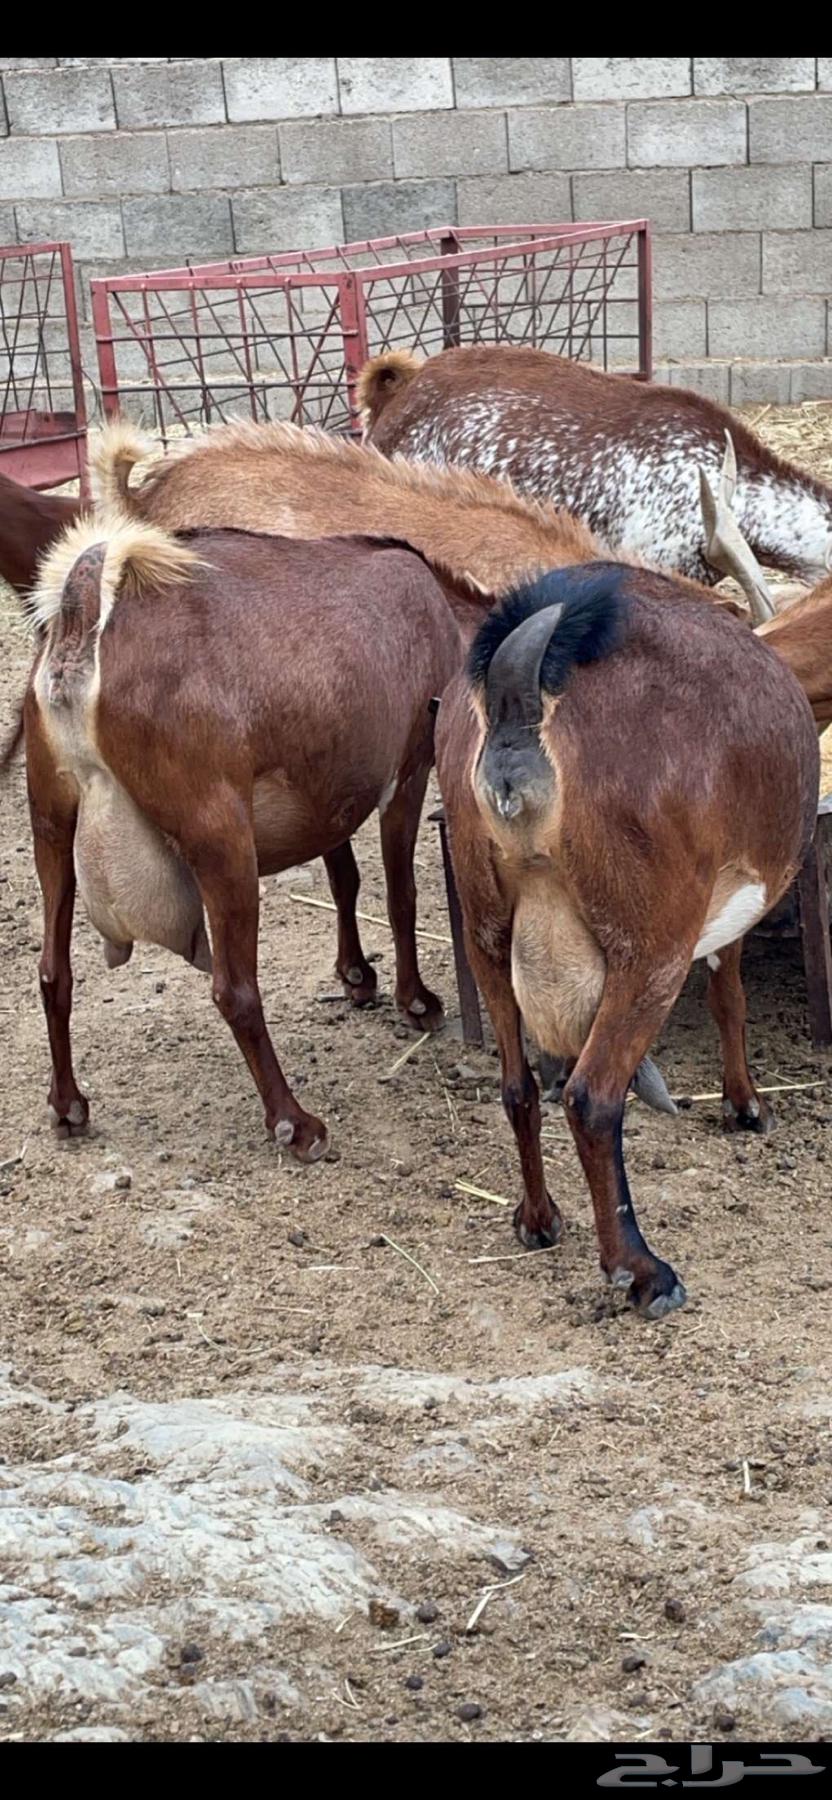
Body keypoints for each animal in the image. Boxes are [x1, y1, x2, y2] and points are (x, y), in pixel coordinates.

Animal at [24, 517, 462, 1149]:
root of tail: (81, 635)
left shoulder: (327, 793)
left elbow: (345, 880)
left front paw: (356, 977)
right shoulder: (408, 772)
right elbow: (401, 898)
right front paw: (417, 1002)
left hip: (51, 824)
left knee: (53, 972)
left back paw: (67, 1106)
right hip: (222, 837)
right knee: (234, 989)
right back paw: (294, 1122)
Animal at [435, 563, 819, 1317]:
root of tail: (521, 694)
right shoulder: (714, 912)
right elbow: (731, 997)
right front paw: (746, 1106)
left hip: (485, 927)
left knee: (518, 1085)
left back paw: (538, 1220)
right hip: (649, 944)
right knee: (592, 1098)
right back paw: (642, 1272)